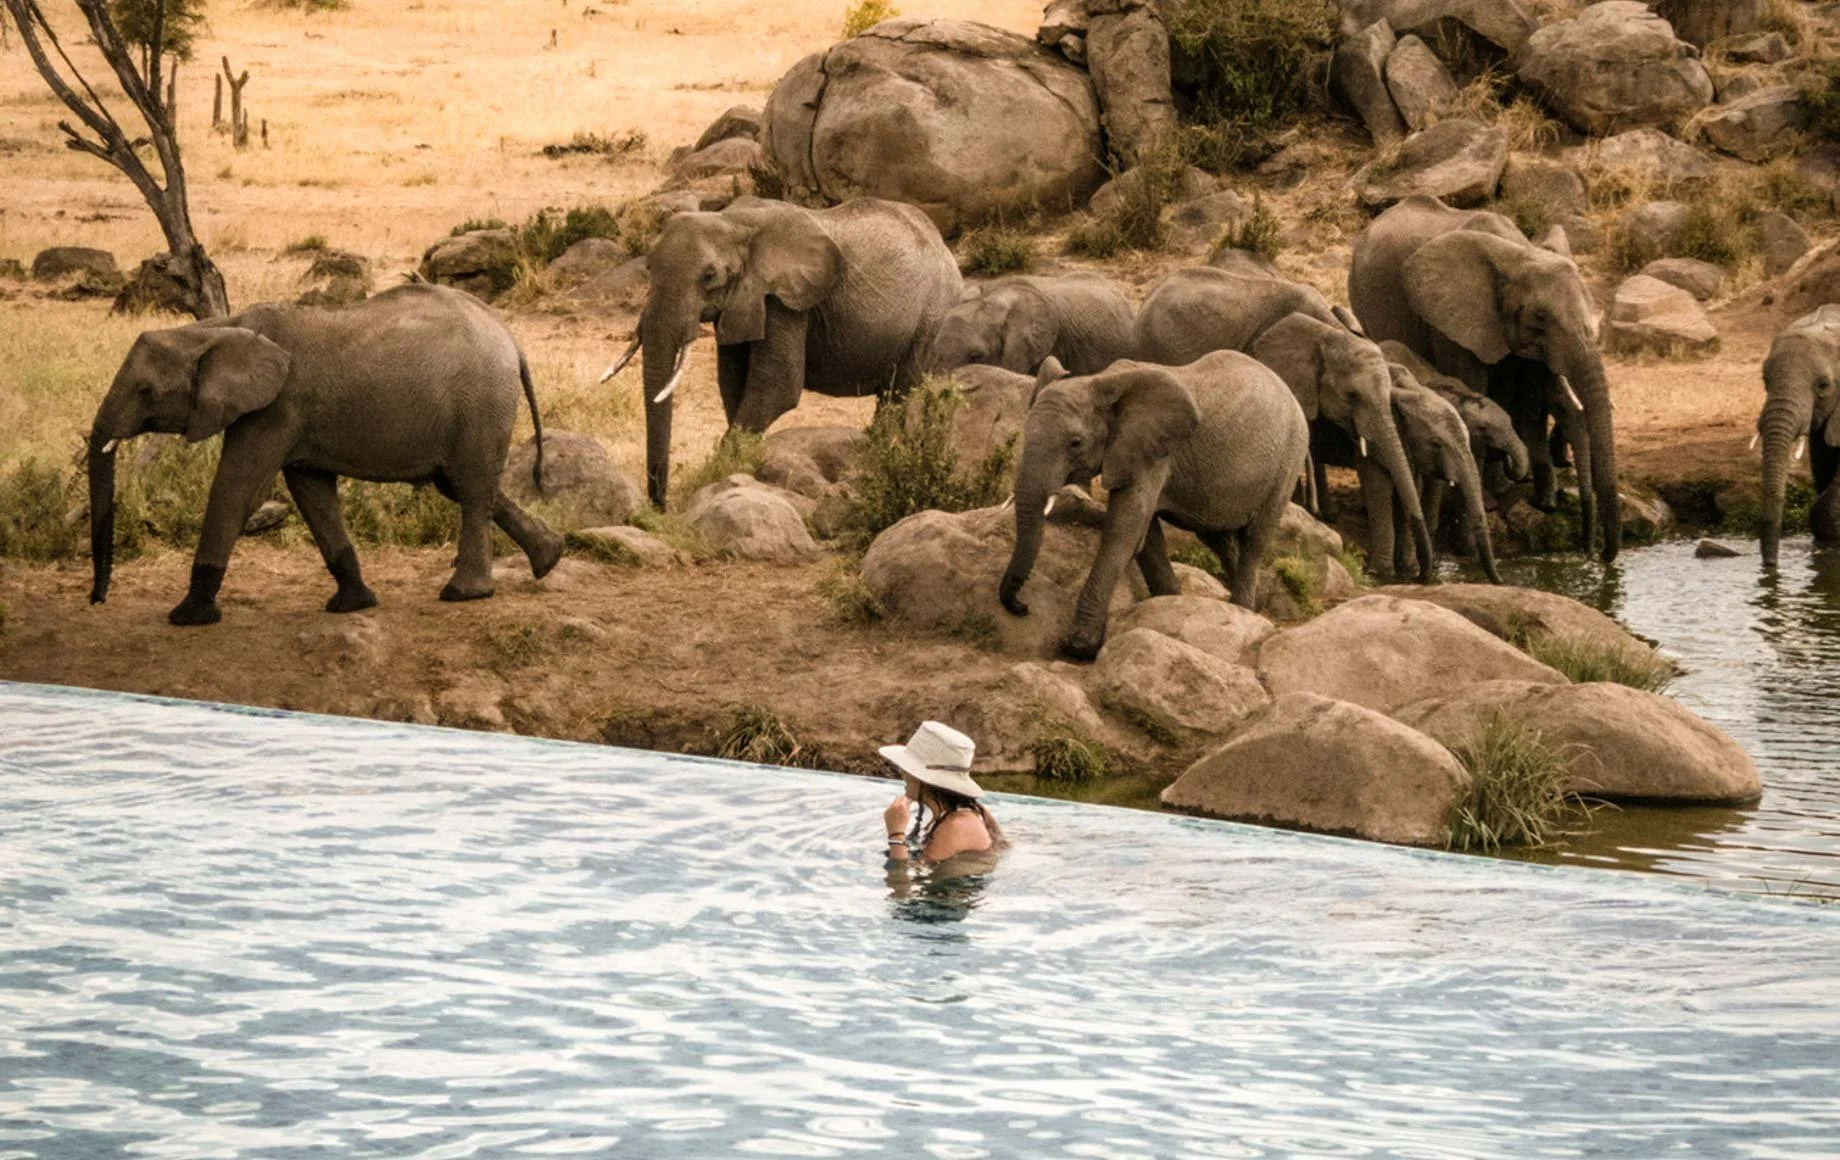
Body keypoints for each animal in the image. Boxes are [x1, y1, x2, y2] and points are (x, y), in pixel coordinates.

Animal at [87, 284, 563, 626]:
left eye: (145, 391)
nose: (96, 599)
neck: (218, 327)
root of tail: (511, 339)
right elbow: (311, 492)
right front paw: (354, 605)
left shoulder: (277, 407)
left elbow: (237, 486)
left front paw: (188, 617)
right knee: (462, 483)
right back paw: (549, 558)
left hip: (481, 401)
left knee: (471, 486)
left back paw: (464, 594)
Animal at [604, 196, 962, 507]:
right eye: (649, 267)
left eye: (709, 276)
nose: (660, 507)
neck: (734, 222)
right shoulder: (744, 302)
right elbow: (733, 382)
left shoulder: (783, 301)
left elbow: (777, 386)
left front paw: (721, 473)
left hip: (932, 317)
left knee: (901, 392)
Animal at [998, 352, 1311, 659]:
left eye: (1075, 443)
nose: (1022, 607)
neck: (1101, 381)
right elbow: (1144, 532)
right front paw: (1169, 598)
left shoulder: (1155, 452)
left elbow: (1125, 527)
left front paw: (1078, 646)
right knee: (1218, 538)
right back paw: (1251, 606)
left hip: (1289, 459)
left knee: (1256, 539)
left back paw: (1242, 608)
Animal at [1349, 194, 1620, 562]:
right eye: (1540, 316)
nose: (1599, 555)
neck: (1518, 253)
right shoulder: (1453, 319)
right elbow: (1475, 385)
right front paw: (1484, 511)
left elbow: (1515, 396)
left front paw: (1511, 488)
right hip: (1365, 299)